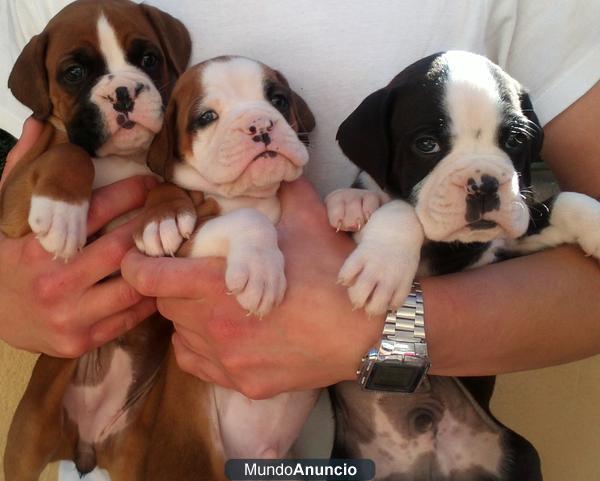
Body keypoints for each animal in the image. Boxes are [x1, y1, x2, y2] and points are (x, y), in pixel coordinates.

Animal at [0, 3, 227, 480]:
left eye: (148, 59)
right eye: (74, 72)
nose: (123, 92)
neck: (121, 159)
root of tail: (86, 444)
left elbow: (164, 185)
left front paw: (163, 215)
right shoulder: (13, 203)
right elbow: (68, 153)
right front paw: (62, 211)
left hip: (132, 455)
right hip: (28, 436)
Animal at [134, 57, 322, 462]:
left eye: (279, 100)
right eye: (206, 117)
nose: (260, 123)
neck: (253, 194)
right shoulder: (186, 248)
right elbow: (246, 219)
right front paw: (261, 271)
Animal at [324, 49, 600, 480]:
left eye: (515, 140)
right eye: (426, 144)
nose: (484, 183)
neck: (445, 246)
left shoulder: (504, 248)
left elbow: (562, 202)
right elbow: (400, 207)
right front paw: (378, 253)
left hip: (521, 453)